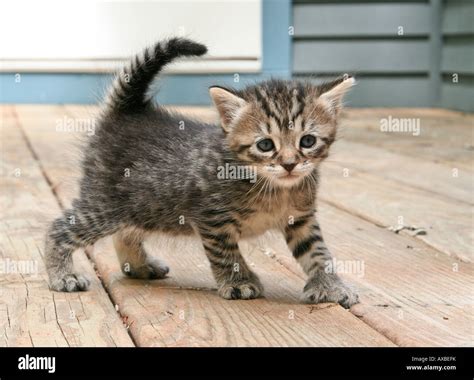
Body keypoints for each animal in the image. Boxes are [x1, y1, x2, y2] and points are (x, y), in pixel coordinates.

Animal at [46, 37, 362, 308]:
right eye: (265, 145)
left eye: (307, 141)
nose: (289, 164)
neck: (272, 186)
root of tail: (126, 112)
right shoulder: (211, 217)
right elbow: (225, 252)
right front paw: (239, 281)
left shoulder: (302, 218)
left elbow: (317, 252)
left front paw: (330, 285)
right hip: (104, 204)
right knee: (58, 229)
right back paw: (62, 275)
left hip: (139, 207)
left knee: (124, 233)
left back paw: (140, 266)